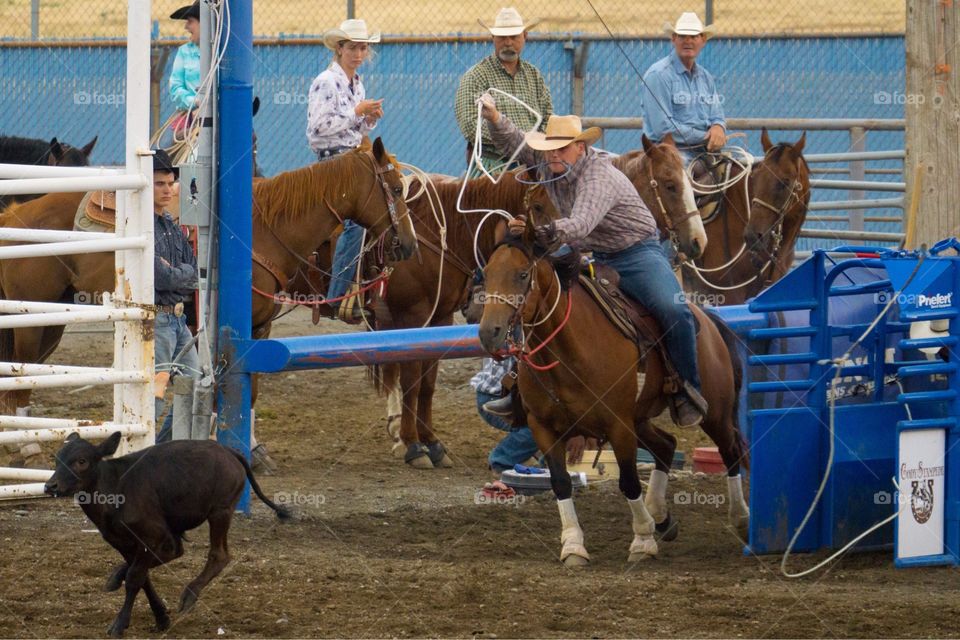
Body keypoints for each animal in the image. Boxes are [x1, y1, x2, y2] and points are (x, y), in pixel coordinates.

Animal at [0, 136, 416, 416]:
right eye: (396, 189)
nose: (408, 246)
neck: (261, 229)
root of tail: (14, 214)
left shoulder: (258, 327)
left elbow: (250, 391)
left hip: (54, 316)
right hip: (29, 317)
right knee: (22, 373)